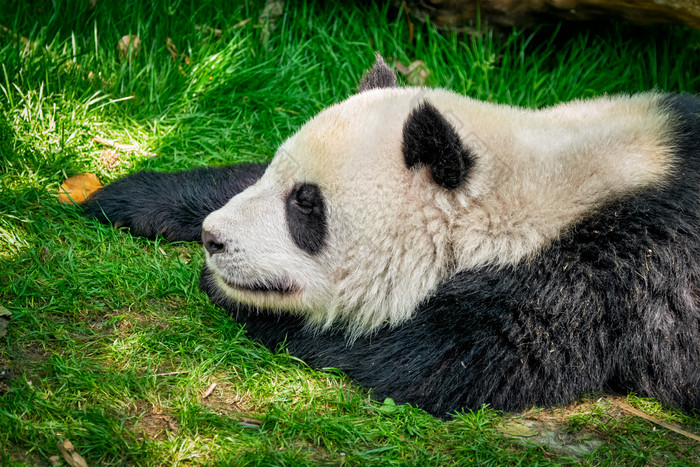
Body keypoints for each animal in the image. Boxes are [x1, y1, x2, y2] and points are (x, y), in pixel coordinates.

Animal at [83, 56, 700, 418]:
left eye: (307, 205)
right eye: (280, 180)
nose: (214, 239)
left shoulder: (600, 273)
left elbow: (434, 361)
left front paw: (248, 303)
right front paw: (127, 197)